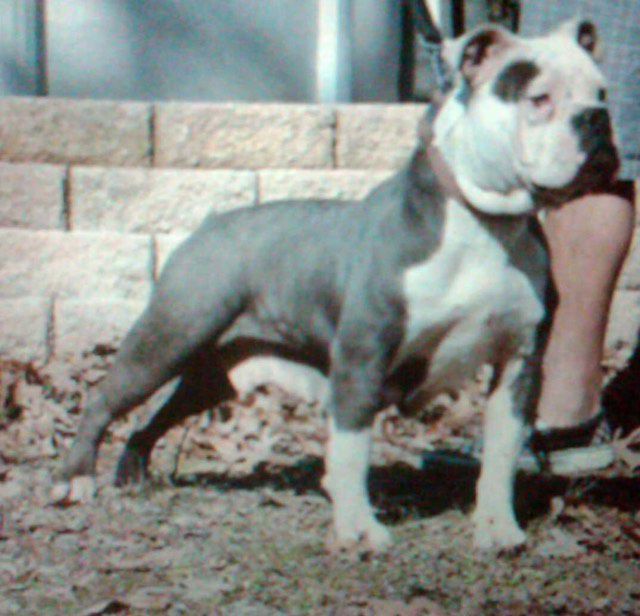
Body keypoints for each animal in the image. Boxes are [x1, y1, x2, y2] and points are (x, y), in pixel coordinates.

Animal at [56, 19, 620, 552]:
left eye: (602, 93)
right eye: (539, 99)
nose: (597, 120)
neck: (485, 223)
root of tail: (209, 226)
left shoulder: (519, 363)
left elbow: (501, 456)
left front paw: (498, 529)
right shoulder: (363, 357)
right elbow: (350, 452)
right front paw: (358, 530)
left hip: (213, 374)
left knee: (154, 417)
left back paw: (133, 474)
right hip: (169, 337)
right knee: (106, 400)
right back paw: (75, 480)